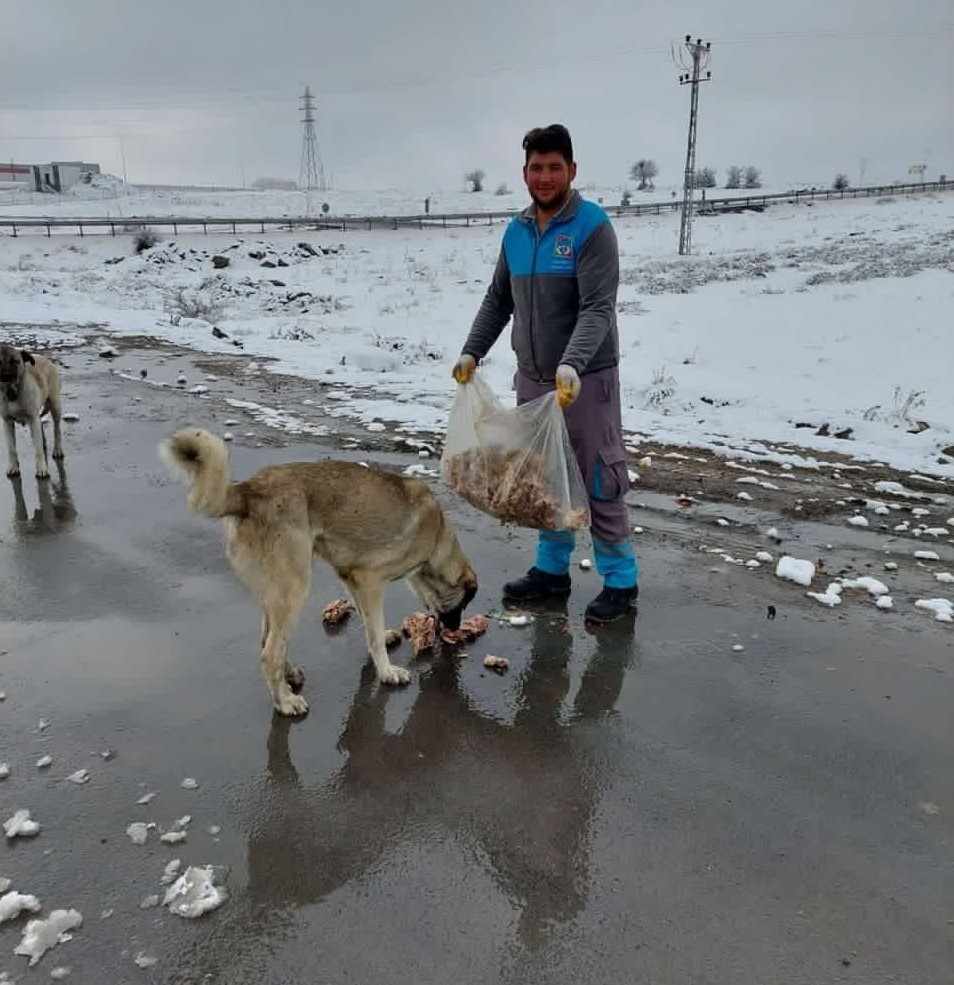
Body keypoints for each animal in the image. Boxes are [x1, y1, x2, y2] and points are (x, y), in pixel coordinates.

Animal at [0, 346, 64, 480]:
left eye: (15, 361)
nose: (6, 376)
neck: (12, 392)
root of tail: (47, 359)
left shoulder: (33, 418)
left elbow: (38, 450)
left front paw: (42, 469)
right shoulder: (7, 422)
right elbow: (11, 448)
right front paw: (13, 467)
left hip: (55, 404)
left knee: (57, 429)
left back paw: (57, 449)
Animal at [161, 428, 484, 716]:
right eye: (464, 604)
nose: (455, 630)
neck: (436, 537)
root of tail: (248, 491)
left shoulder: (350, 577)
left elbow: (368, 623)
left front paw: (382, 639)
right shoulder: (369, 581)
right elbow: (374, 635)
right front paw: (387, 672)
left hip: (275, 593)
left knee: (268, 639)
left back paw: (289, 676)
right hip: (295, 588)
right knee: (269, 654)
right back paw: (285, 702)